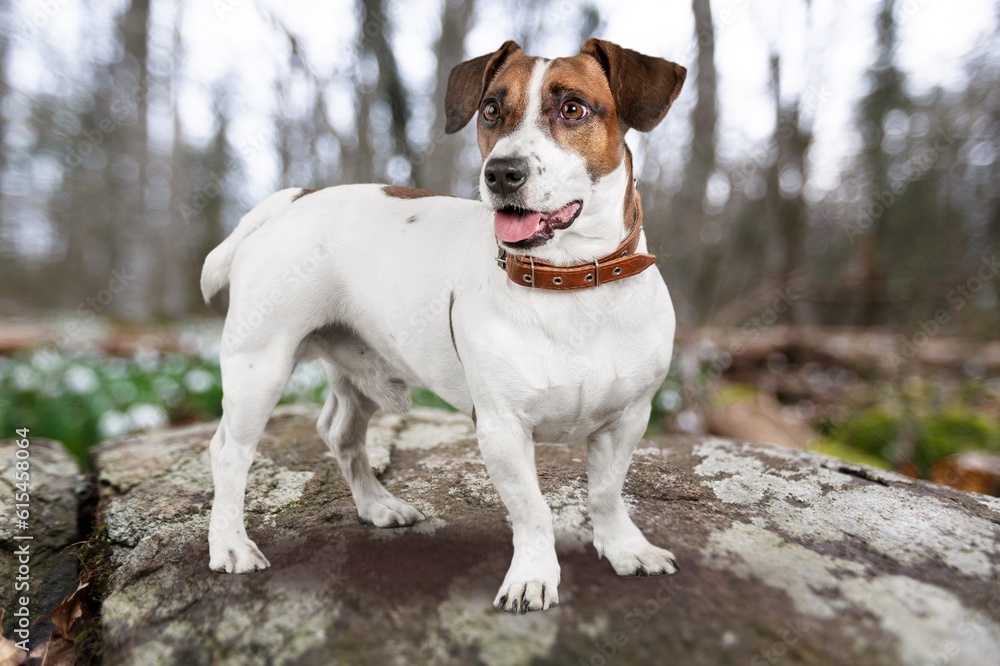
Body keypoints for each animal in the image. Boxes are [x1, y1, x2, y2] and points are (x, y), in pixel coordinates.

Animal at [203, 37, 688, 612]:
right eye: (491, 110)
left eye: (573, 108)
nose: (502, 173)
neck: (567, 280)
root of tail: (296, 197)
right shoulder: (501, 428)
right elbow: (531, 509)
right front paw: (533, 575)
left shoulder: (628, 419)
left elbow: (607, 493)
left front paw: (624, 548)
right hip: (259, 367)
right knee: (228, 454)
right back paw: (230, 544)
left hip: (357, 366)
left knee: (341, 434)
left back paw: (378, 505)